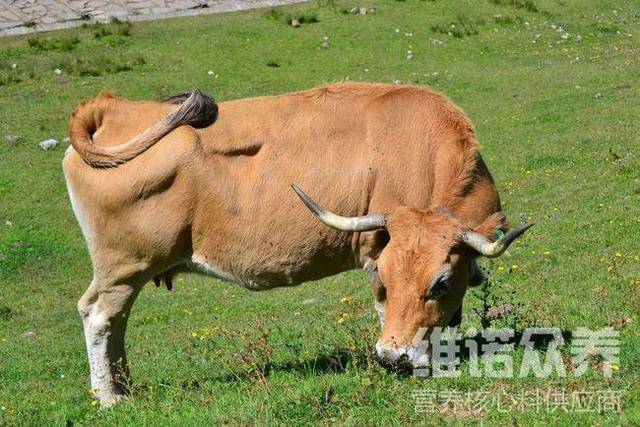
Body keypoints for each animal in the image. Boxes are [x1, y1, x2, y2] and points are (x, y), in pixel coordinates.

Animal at [62, 83, 532, 408]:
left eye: (440, 282)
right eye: (387, 275)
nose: (391, 356)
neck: (425, 150)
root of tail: (114, 107)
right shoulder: (374, 251)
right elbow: (386, 308)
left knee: (116, 322)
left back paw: (126, 387)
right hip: (123, 268)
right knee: (100, 317)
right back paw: (110, 397)